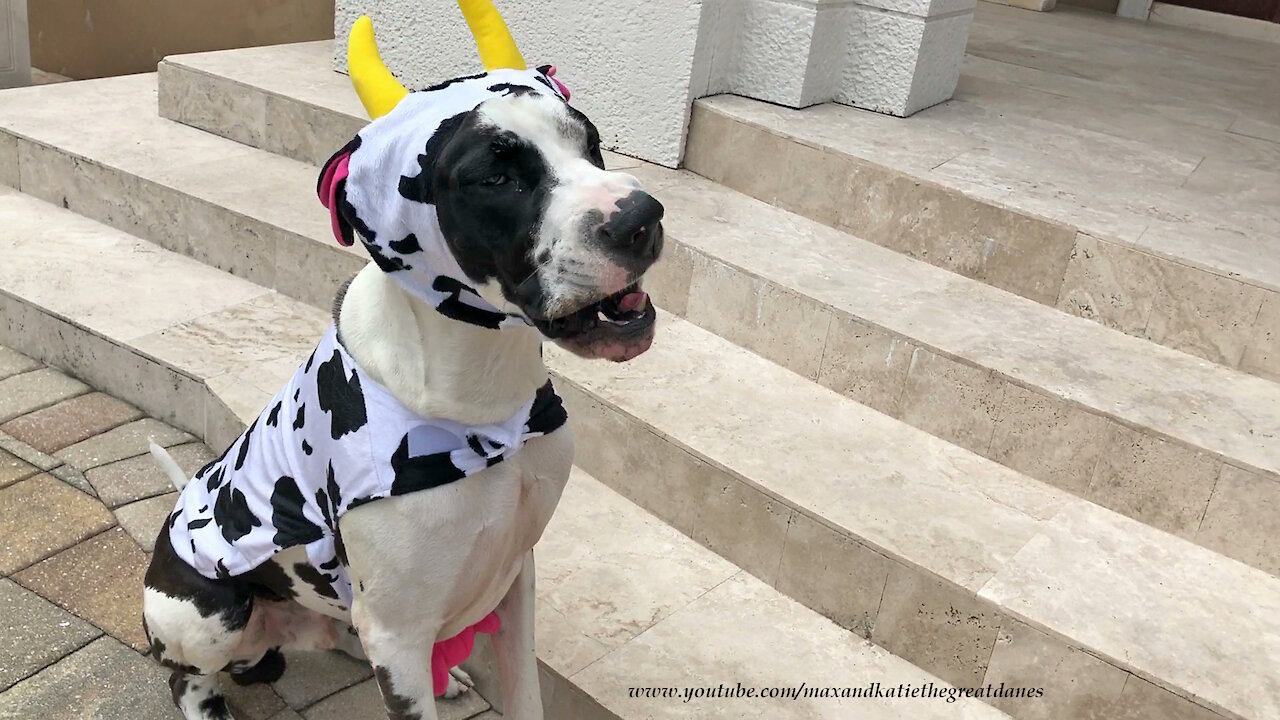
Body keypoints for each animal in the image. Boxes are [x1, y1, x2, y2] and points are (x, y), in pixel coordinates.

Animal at [140, 2, 665, 712]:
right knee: (187, 674)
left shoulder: (516, 576)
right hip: (203, 613)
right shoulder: (397, 633)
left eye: (590, 143)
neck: (480, 395)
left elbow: (525, 694)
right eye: (496, 177)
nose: (642, 217)